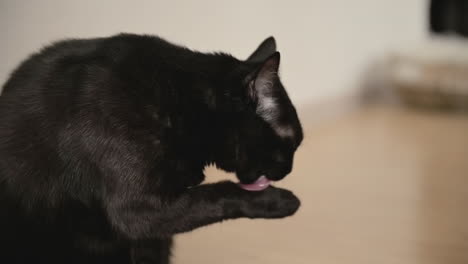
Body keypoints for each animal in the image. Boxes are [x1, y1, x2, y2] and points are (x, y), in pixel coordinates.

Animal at [0, 34, 304, 262]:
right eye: (293, 142)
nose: (289, 170)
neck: (184, 99)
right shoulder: (138, 212)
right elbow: (220, 193)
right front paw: (278, 201)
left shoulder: (153, 237)